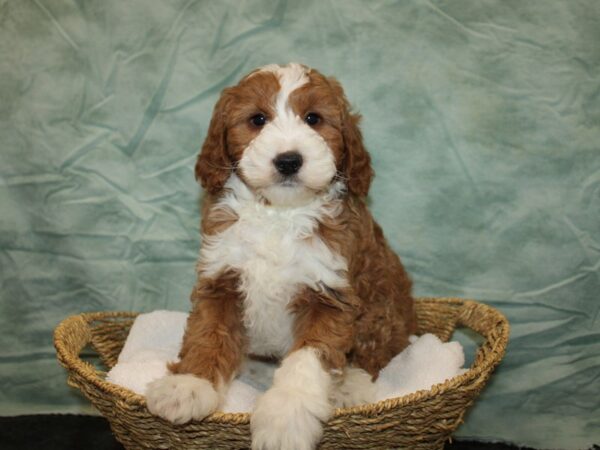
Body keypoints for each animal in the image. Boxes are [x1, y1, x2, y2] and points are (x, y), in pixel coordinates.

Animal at [146, 63, 418, 450]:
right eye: (257, 119)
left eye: (314, 118)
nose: (289, 160)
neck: (278, 213)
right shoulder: (220, 279)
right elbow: (207, 334)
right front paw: (188, 385)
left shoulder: (330, 294)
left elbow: (307, 360)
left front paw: (285, 418)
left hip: (384, 305)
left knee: (378, 352)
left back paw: (349, 385)